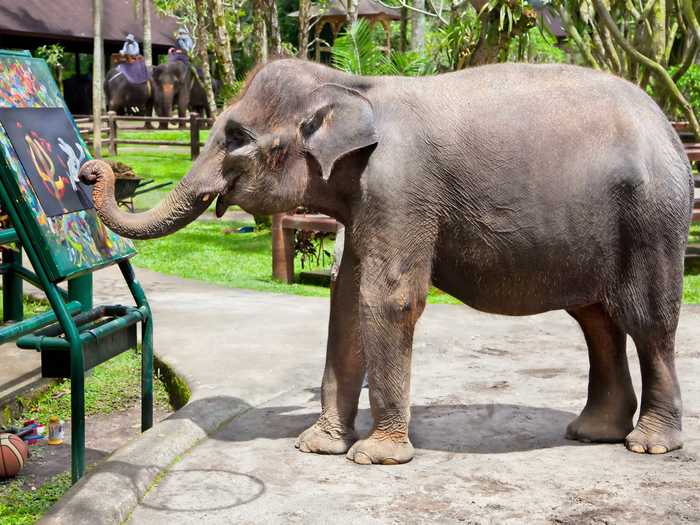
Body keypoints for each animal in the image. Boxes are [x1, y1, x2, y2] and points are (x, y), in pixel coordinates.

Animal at [79, 59, 692, 464]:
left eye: (235, 137)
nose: (93, 170)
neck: (351, 85)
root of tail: (669, 126)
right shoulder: (366, 200)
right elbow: (346, 300)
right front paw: (318, 445)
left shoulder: (401, 185)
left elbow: (388, 298)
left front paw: (375, 456)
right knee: (596, 319)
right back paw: (592, 433)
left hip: (652, 217)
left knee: (647, 321)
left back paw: (648, 444)